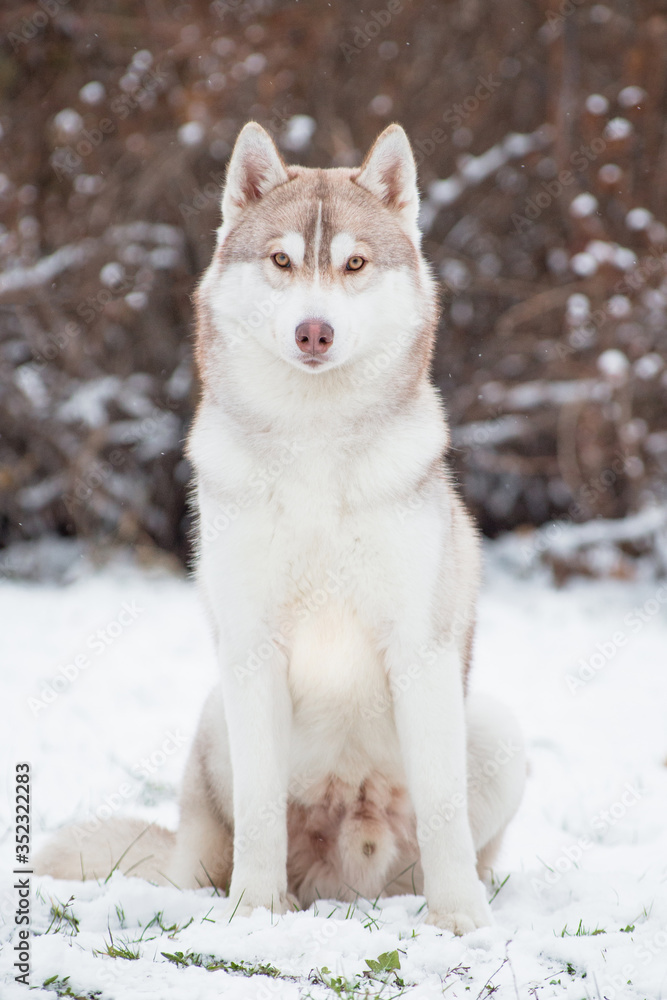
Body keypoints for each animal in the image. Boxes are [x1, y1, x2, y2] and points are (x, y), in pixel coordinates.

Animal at [36, 125, 528, 936]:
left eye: (354, 264)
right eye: (282, 261)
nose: (313, 330)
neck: (315, 448)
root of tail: (343, 882)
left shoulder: (421, 652)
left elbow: (443, 812)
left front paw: (459, 920)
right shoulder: (250, 649)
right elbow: (262, 812)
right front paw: (255, 912)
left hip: (489, 724)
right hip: (214, 715)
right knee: (207, 855)